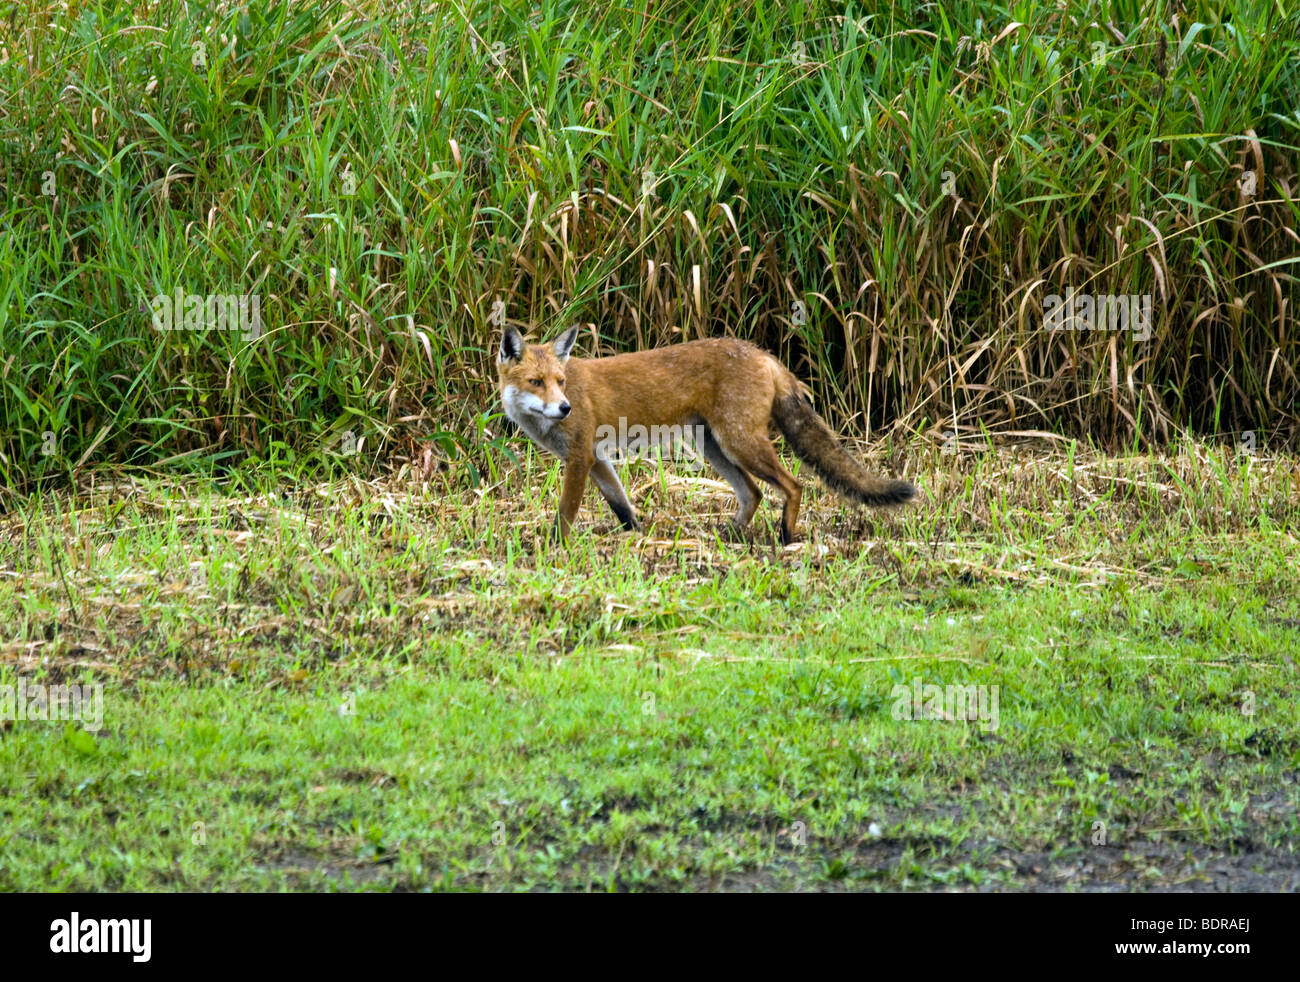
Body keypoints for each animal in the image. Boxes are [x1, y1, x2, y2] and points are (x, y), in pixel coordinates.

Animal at [496, 325, 916, 543]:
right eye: (536, 382)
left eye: (560, 382)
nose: (564, 407)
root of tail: (764, 354)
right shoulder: (596, 460)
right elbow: (622, 507)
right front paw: (639, 537)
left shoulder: (580, 457)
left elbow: (566, 512)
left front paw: (554, 548)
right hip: (716, 448)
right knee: (754, 493)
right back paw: (730, 534)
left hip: (741, 444)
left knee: (793, 485)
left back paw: (786, 536)